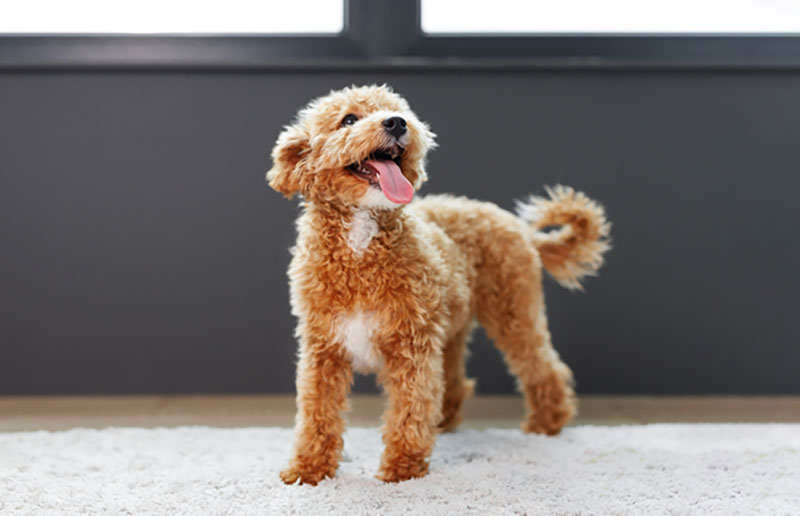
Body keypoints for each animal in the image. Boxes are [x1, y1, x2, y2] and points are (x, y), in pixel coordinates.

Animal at [266, 83, 608, 484]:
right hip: (452, 330)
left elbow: (410, 409)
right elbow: (316, 413)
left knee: (543, 367)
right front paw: (308, 470)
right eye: (348, 119)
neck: (362, 239)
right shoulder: (323, 349)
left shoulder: (411, 346)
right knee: (455, 382)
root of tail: (516, 225)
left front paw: (401, 470)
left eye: (398, 110)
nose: (397, 123)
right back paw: (446, 423)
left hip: (513, 312)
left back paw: (546, 424)